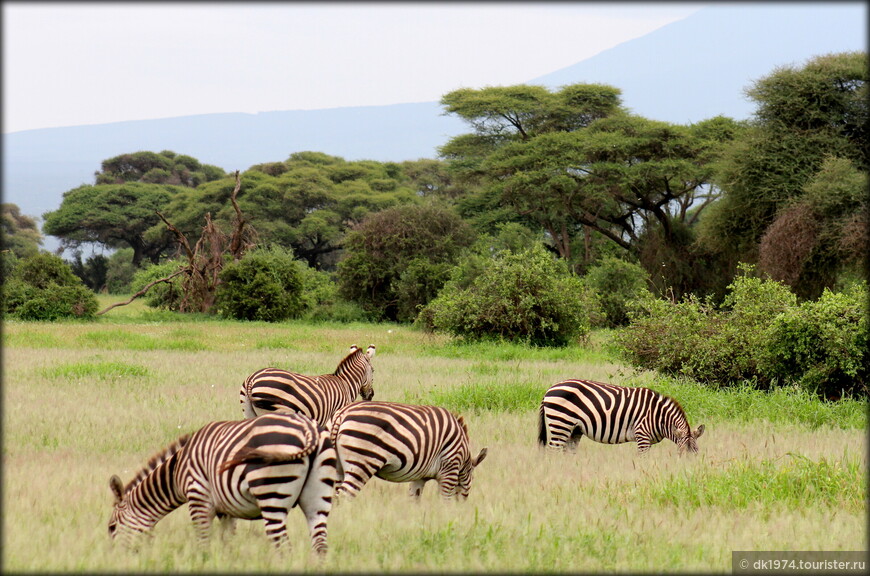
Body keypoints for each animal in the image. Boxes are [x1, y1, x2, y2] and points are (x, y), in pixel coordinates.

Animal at [108, 412, 340, 556]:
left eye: (112, 527)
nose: (114, 558)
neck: (177, 470)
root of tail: (309, 429)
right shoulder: (227, 510)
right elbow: (227, 542)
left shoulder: (198, 498)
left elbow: (203, 542)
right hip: (318, 499)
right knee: (320, 546)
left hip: (272, 493)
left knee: (283, 547)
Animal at [240, 344, 376, 426]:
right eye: (373, 370)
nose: (371, 396)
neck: (346, 383)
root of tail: (252, 379)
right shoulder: (334, 417)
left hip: (248, 413)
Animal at [328, 400, 490, 500]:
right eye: (473, 479)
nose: (461, 507)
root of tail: (341, 414)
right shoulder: (449, 470)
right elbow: (445, 500)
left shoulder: (419, 477)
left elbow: (415, 499)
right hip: (362, 462)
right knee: (344, 496)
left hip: (337, 467)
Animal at [540, 380, 708, 456]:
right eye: (680, 453)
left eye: (696, 453)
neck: (659, 417)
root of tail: (550, 389)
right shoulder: (642, 435)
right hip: (561, 423)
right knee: (553, 451)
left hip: (574, 429)